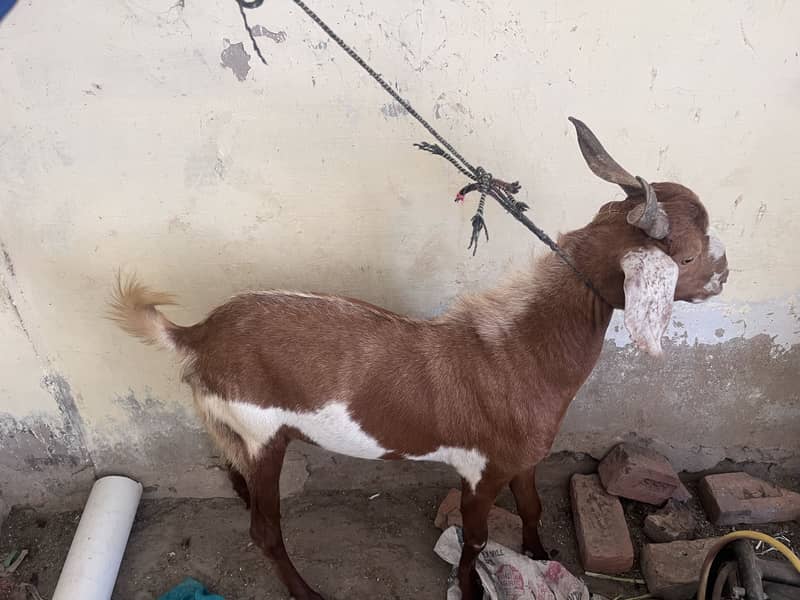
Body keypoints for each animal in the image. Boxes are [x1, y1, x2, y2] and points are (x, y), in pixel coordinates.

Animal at [109, 119, 729, 600]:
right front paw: (474, 587)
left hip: (232, 431)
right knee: (265, 529)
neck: (518, 353)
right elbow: (476, 539)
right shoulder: (481, 469)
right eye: (688, 256)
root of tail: (197, 335)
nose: (723, 275)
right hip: (262, 433)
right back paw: (307, 591)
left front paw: (539, 552)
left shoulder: (521, 458)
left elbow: (532, 506)